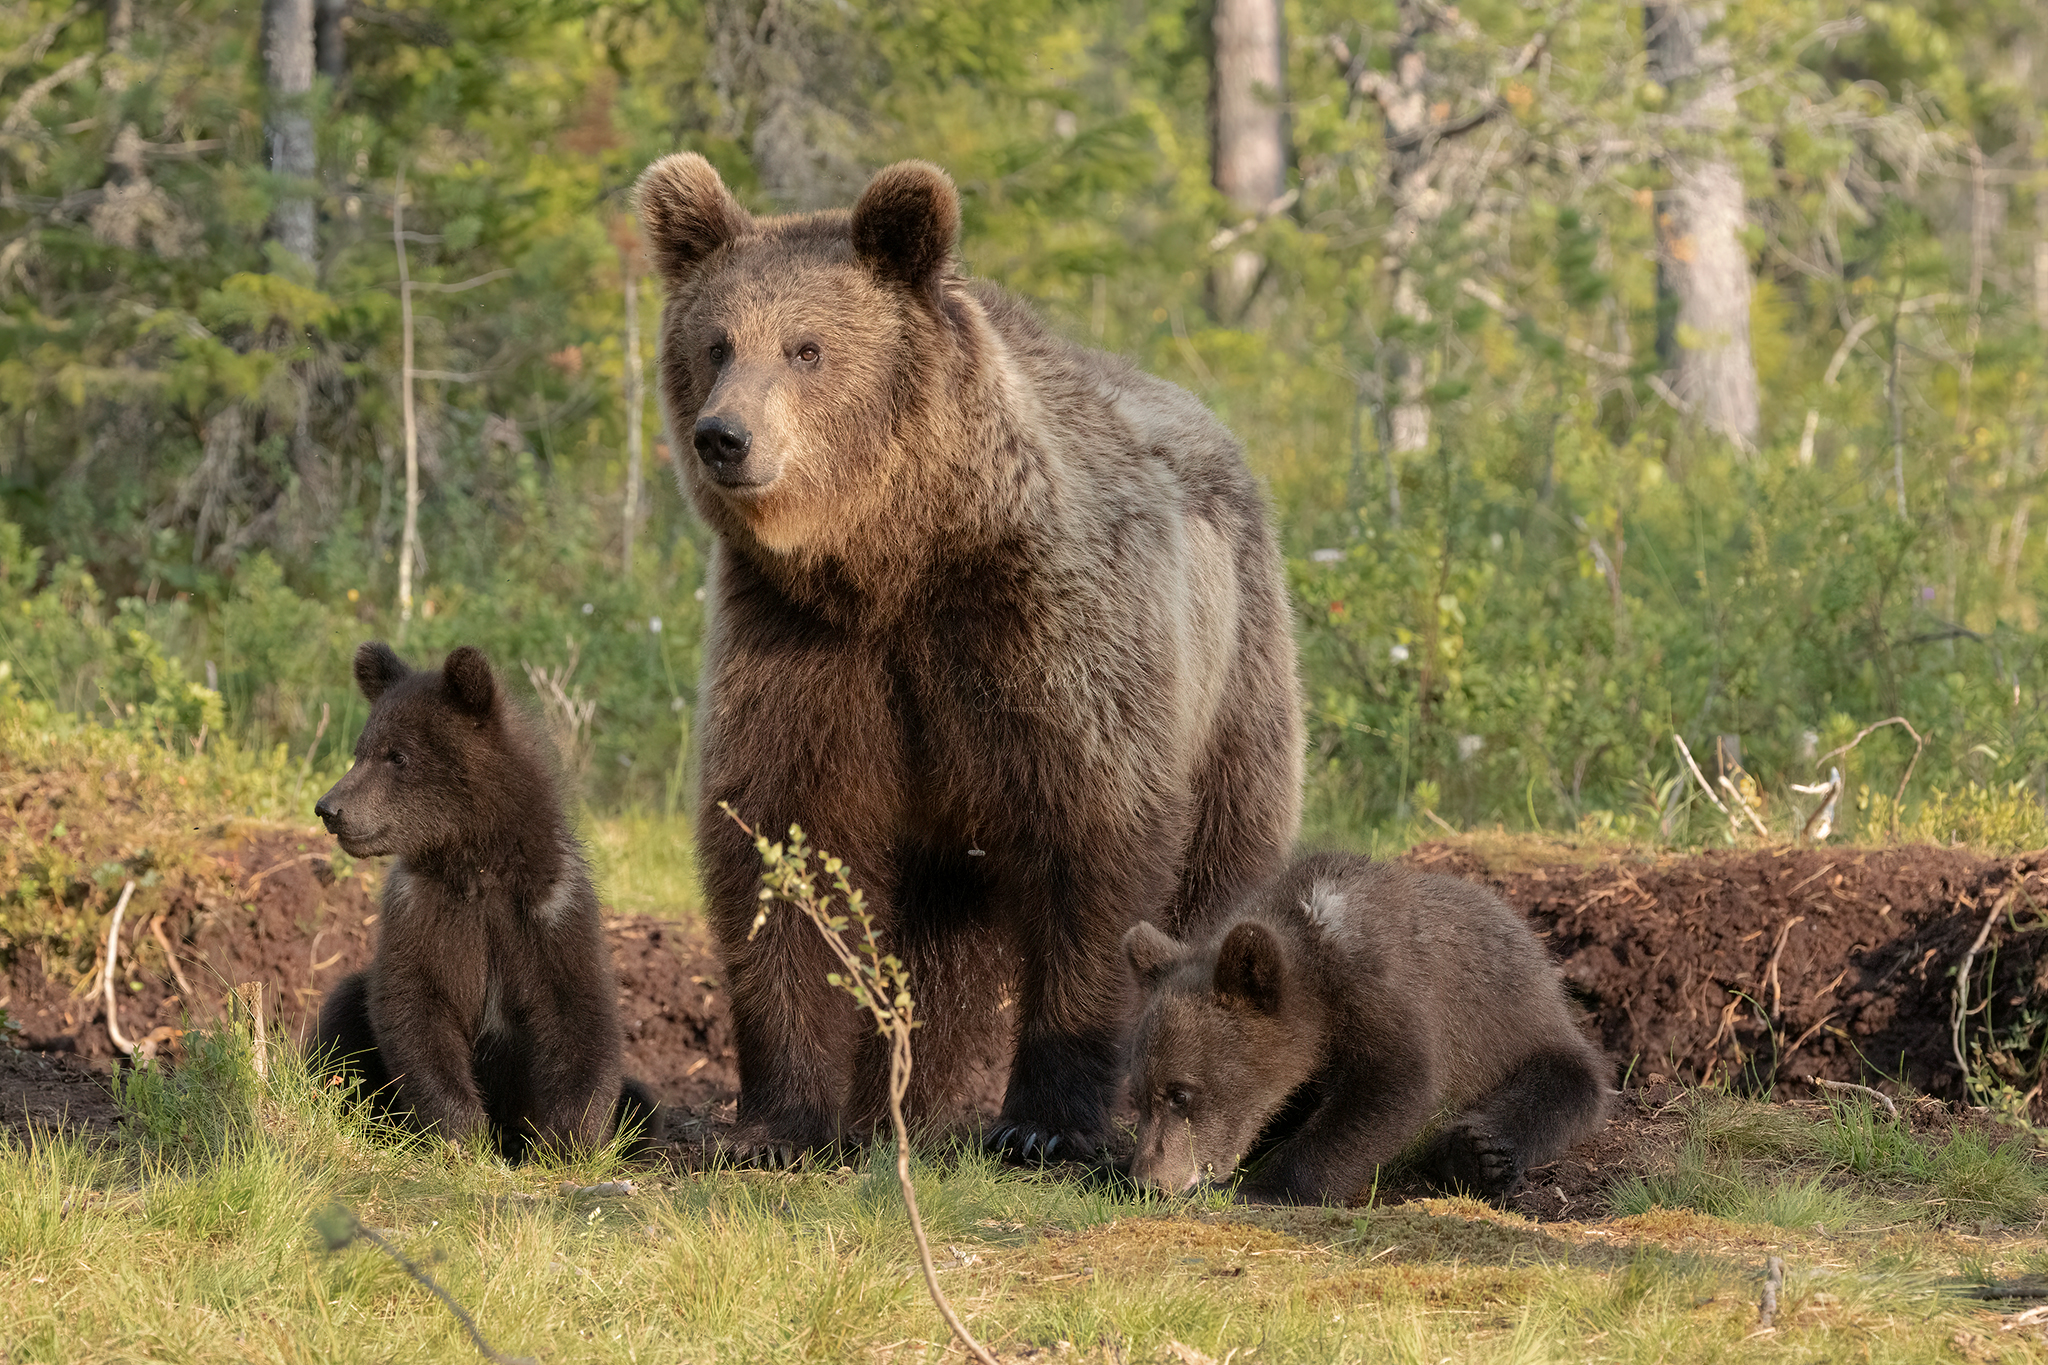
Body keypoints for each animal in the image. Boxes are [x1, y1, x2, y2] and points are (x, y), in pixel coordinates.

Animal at [312, 642, 658, 1162]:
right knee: (344, 1009)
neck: (477, 867)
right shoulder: (422, 912)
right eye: (360, 751)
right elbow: (414, 1006)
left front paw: (570, 1138)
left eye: (398, 755)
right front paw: (461, 1133)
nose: (329, 808)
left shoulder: (551, 911)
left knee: (643, 1104)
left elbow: (579, 1010)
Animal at [633, 152, 1304, 1162]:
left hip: (1239, 667)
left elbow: (1097, 842)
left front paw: (1043, 1123)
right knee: (939, 934)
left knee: (1223, 861)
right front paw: (776, 1120)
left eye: (806, 348)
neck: (899, 560)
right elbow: (780, 836)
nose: (726, 437)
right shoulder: (803, 642)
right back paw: (896, 1110)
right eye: (715, 343)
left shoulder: (1051, 633)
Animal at [1121, 851, 1611, 1203]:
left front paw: (1261, 1187)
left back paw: (1474, 1156)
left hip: (1527, 1033)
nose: (1146, 1183)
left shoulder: (1385, 989)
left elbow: (1390, 1088)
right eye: (1139, 1095)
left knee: (1555, 1091)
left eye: (1180, 1094)